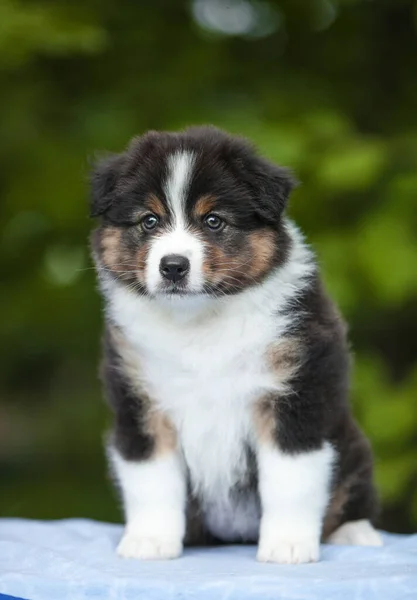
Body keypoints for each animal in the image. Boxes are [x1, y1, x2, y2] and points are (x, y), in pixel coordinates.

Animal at [89, 125, 382, 564]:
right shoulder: (140, 402)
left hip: (353, 446)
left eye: (213, 221)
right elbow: (151, 480)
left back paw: (355, 533)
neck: (199, 321)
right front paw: (149, 541)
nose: (173, 266)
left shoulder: (296, 397)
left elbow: (292, 480)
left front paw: (288, 546)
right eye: (149, 220)